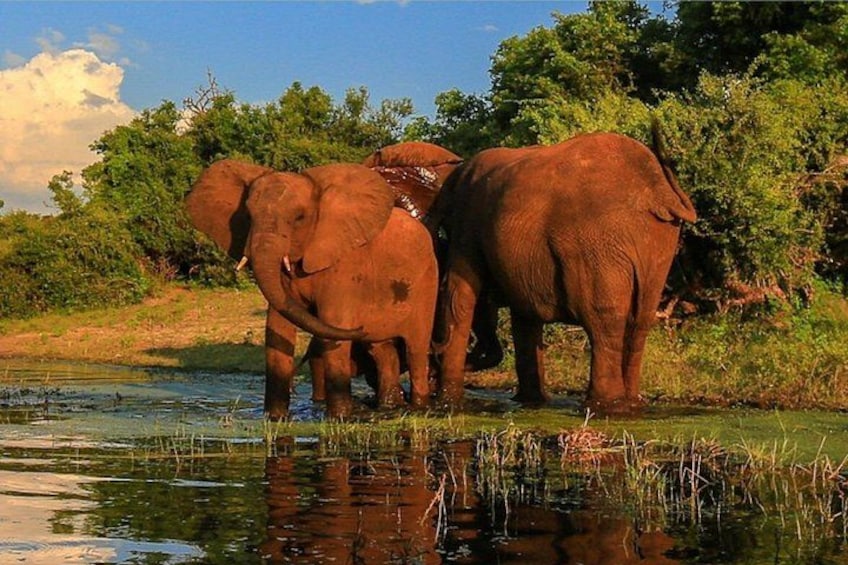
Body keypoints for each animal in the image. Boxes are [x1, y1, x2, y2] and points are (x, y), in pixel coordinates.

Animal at [185, 160, 438, 419]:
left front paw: (340, 418)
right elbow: (277, 327)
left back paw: (418, 406)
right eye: (248, 215)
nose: (360, 326)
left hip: (427, 282)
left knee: (416, 350)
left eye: (299, 218)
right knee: (382, 350)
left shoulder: (344, 265)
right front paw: (275, 419)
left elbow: (333, 322)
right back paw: (389, 406)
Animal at [431, 121, 697, 414]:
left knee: (603, 320)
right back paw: (629, 405)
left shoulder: (467, 223)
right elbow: (524, 315)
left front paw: (447, 403)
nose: (434, 355)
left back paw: (602, 406)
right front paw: (530, 403)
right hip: (656, 243)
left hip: (596, 243)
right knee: (640, 319)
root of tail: (657, 190)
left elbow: (459, 294)